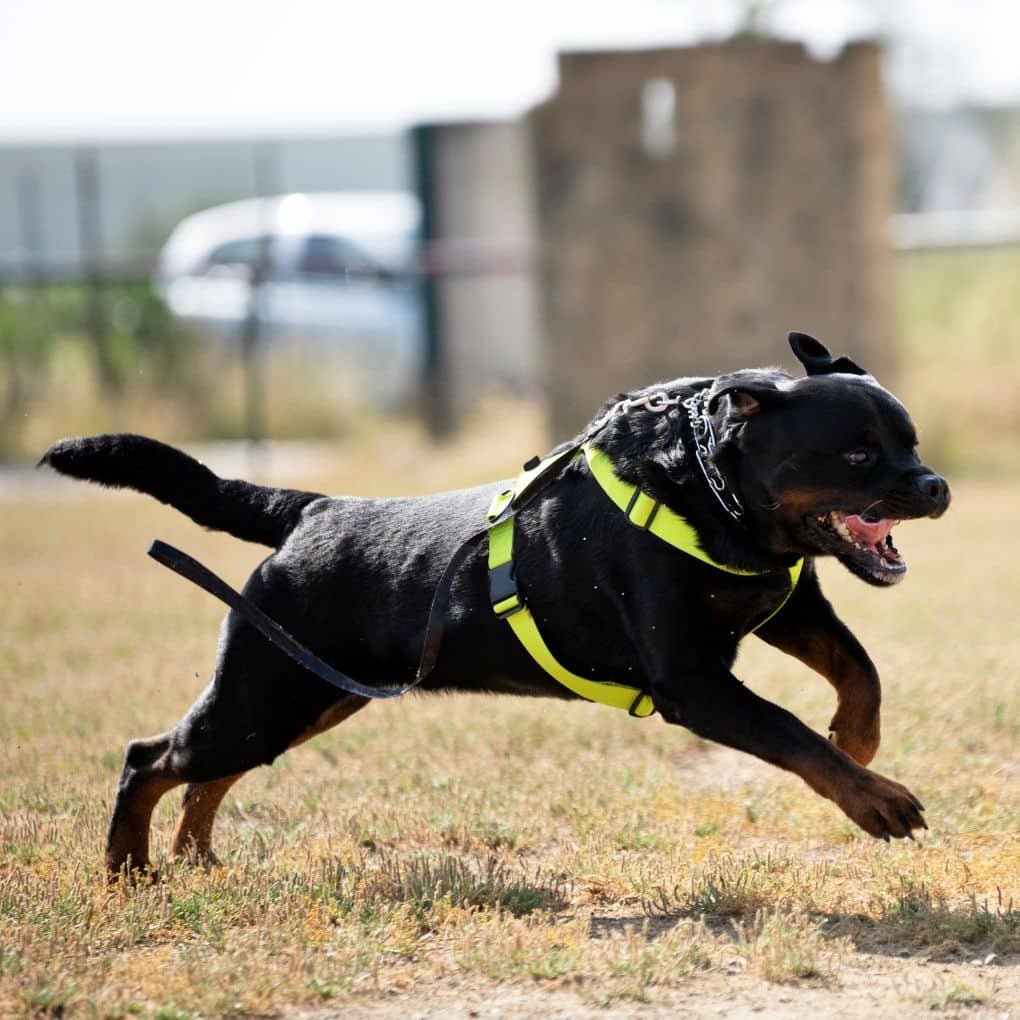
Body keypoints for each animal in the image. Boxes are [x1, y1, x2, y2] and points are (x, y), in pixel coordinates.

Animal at [39, 334, 946, 877]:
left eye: (912, 441)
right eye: (859, 453)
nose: (935, 486)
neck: (709, 492)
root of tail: (310, 510)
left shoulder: (783, 606)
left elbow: (857, 669)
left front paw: (859, 738)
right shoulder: (695, 683)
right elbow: (791, 733)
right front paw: (876, 798)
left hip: (305, 697)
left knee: (205, 774)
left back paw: (194, 859)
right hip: (267, 693)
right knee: (149, 758)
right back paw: (128, 871)